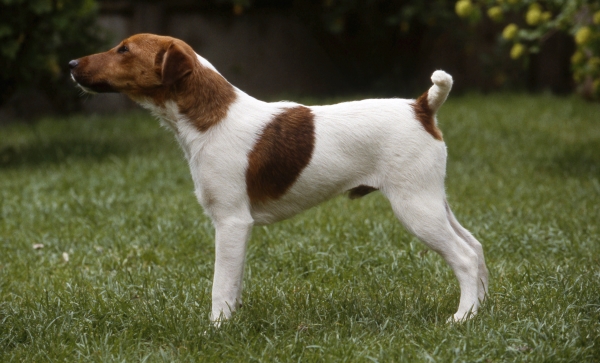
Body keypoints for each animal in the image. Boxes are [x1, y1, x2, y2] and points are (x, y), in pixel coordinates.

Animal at [69, 34, 488, 324]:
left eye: (124, 50)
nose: (71, 63)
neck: (209, 117)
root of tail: (422, 107)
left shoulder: (232, 221)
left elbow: (220, 284)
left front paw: (215, 329)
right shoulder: (235, 227)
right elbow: (233, 283)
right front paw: (231, 321)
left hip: (413, 205)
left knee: (464, 256)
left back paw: (462, 317)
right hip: (432, 198)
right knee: (475, 245)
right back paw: (481, 310)